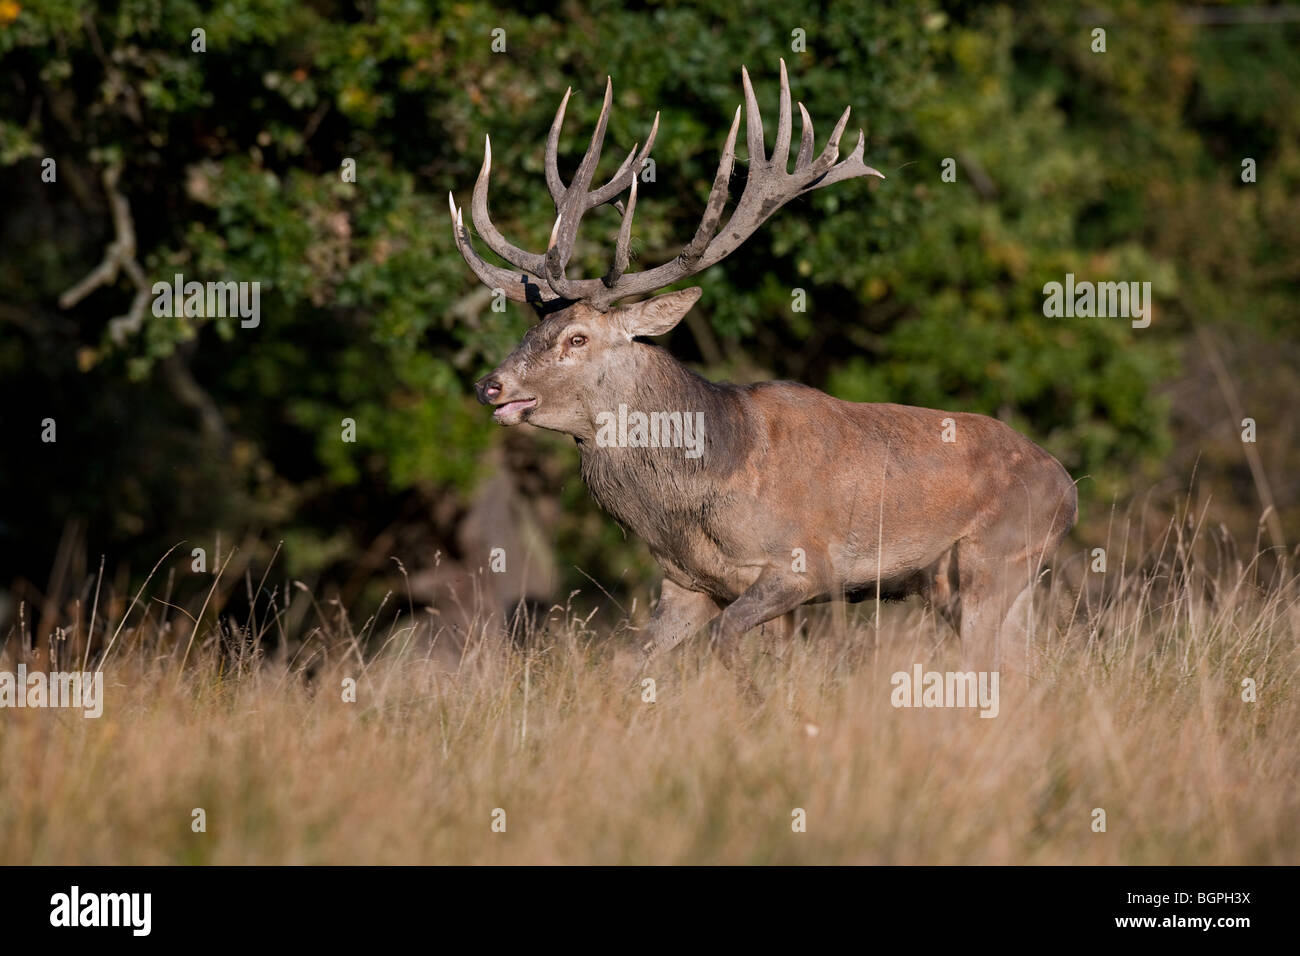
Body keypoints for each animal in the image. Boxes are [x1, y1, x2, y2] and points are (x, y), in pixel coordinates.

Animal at [447, 57, 1076, 686]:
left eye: (577, 338)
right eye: (530, 331)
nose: (489, 385)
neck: (700, 496)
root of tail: (1068, 488)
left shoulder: (804, 564)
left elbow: (729, 641)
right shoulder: (686, 583)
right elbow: (632, 661)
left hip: (992, 559)